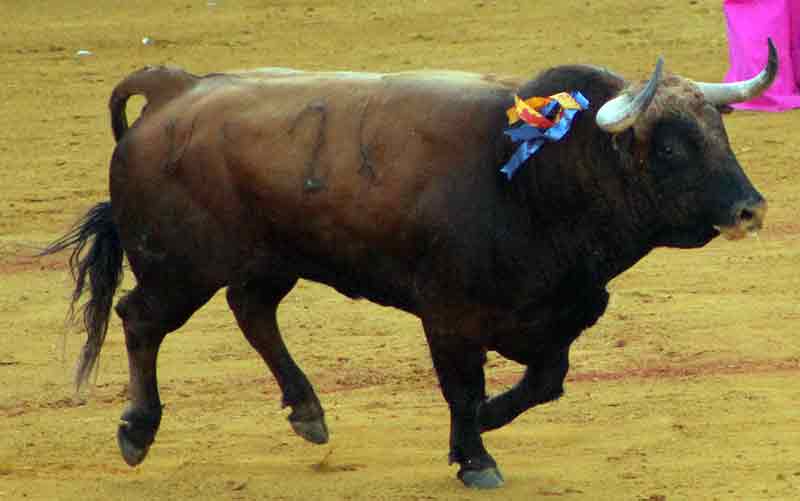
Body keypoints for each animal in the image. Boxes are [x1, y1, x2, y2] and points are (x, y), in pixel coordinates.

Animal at [45, 43, 776, 488]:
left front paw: (485, 427)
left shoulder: (558, 314)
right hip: (179, 267)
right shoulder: (449, 315)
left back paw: (308, 411)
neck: (533, 177)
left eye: (721, 132)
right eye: (673, 147)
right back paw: (137, 430)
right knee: (140, 319)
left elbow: (543, 381)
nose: (751, 209)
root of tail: (173, 91)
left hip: (268, 259)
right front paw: (476, 458)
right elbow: (464, 387)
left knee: (252, 312)